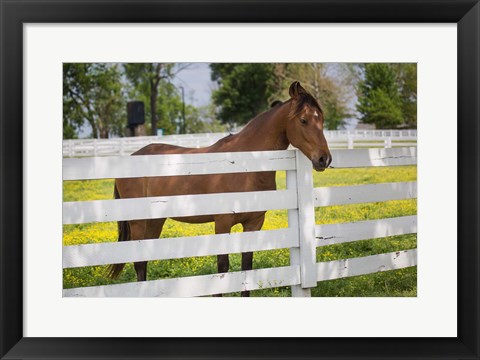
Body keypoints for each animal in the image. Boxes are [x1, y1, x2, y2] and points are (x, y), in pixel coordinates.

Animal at [109, 81, 330, 296]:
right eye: (303, 120)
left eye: (322, 120)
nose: (324, 159)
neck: (245, 166)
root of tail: (132, 157)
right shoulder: (222, 224)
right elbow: (222, 268)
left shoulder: (254, 224)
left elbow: (246, 266)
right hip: (138, 222)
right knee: (139, 262)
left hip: (155, 221)